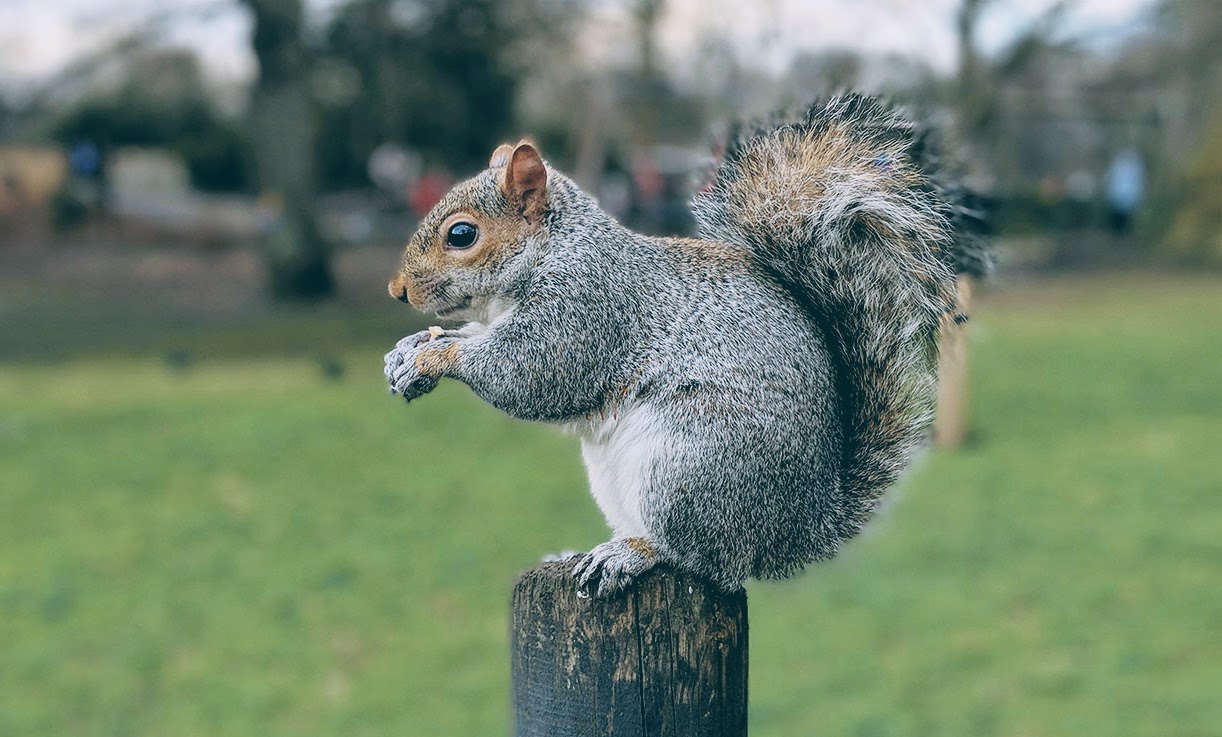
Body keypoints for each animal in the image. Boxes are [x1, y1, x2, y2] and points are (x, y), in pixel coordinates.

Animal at [386, 95, 987, 596]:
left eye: (461, 235)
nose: (398, 291)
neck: (554, 251)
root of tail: (805, 527)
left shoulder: (587, 307)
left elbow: (532, 372)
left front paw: (438, 356)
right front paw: (408, 351)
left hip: (689, 464)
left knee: (706, 560)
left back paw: (632, 554)